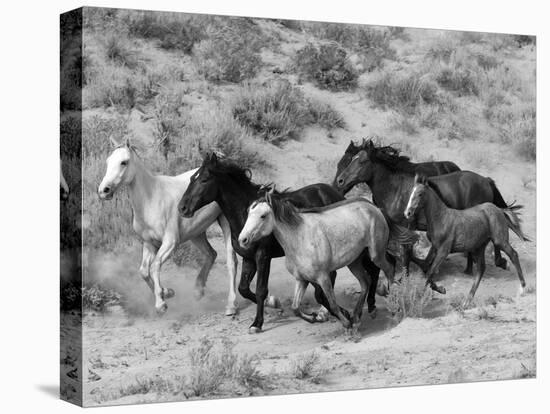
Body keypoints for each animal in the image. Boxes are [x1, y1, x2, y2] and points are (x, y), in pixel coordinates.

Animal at [97, 139, 239, 314]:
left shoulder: (170, 242)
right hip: (196, 232)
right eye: (108, 161)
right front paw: (167, 292)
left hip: (225, 224)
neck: (151, 200)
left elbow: (155, 266)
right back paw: (198, 291)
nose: (104, 191)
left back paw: (231, 305)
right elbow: (144, 271)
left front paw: (161, 304)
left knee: (231, 262)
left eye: (124, 162)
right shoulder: (149, 243)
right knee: (211, 254)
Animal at [179, 154, 390, 334]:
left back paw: (366, 306)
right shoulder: (249, 258)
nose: (182, 208)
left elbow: (261, 289)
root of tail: (334, 192)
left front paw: (258, 322)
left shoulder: (263, 257)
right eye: (191, 179)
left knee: (369, 270)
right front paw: (276, 304)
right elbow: (244, 288)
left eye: (204, 179)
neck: (242, 216)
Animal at [336, 141, 516, 280]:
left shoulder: (406, 226)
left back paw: (495, 263)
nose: (339, 181)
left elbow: (406, 253)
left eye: (362, 161)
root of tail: (486, 180)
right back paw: (469, 269)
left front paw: (407, 276)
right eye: (350, 159)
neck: (394, 190)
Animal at [406, 173, 532, 306]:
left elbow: (430, 271)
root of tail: (499, 210)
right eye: (411, 192)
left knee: (513, 255)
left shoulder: (443, 251)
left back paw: (522, 288)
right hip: (480, 246)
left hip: (500, 240)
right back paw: (467, 300)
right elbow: (428, 269)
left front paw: (420, 298)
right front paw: (441, 289)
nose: (407, 213)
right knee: (481, 268)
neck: (441, 218)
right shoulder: (435, 248)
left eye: (420, 194)